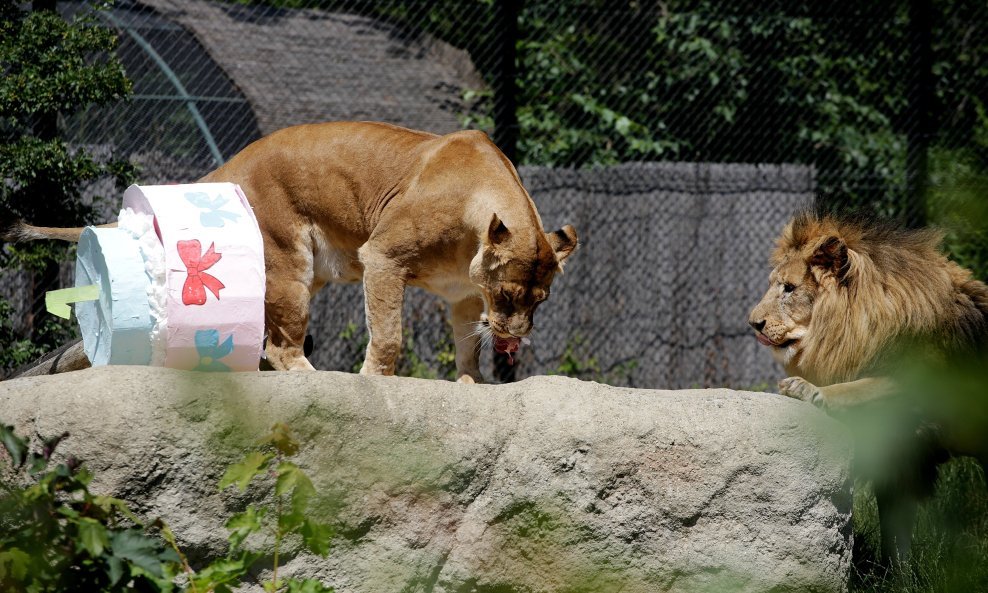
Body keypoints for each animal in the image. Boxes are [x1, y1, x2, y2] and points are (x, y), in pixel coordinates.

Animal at [3, 121, 580, 380]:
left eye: (540, 302)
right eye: (508, 296)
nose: (515, 335)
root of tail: (229, 165)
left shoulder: (462, 295)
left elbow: (466, 343)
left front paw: (470, 382)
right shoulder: (384, 256)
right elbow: (388, 335)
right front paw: (374, 381)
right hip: (287, 263)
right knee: (280, 348)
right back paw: (313, 378)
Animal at [748, 212, 988, 564]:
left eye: (789, 288)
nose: (754, 324)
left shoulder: (927, 391)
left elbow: (864, 387)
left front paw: (805, 389)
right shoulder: (902, 454)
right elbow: (895, 535)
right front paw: (897, 572)